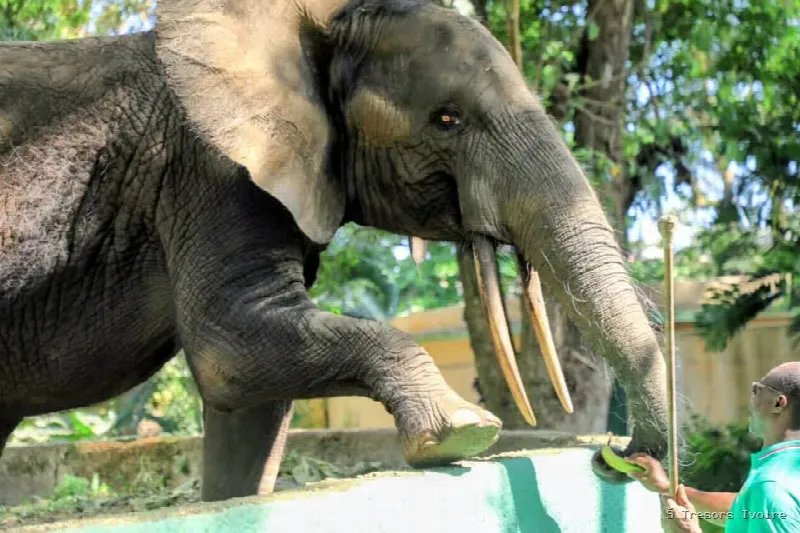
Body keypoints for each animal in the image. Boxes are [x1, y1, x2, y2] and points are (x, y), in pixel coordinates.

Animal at [0, 0, 669, 501]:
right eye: (447, 119)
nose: (621, 458)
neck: (315, 22)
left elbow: (252, 401)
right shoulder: (211, 168)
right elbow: (227, 347)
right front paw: (463, 433)